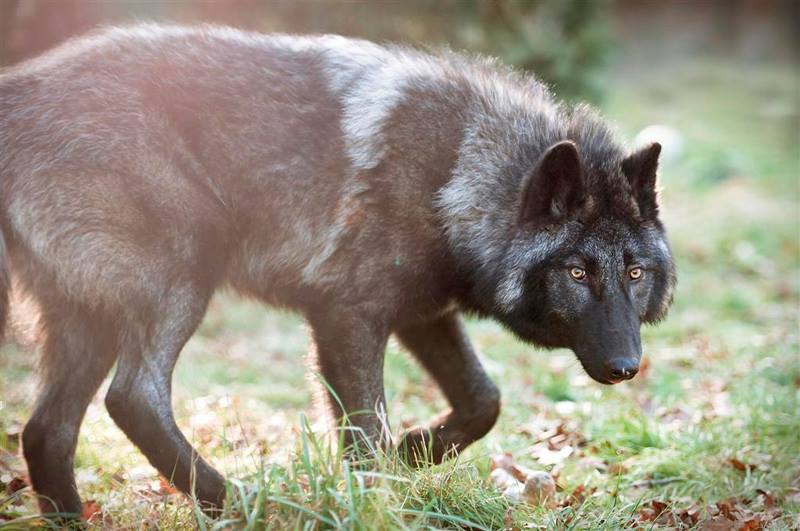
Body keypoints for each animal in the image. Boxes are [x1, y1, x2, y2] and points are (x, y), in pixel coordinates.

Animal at [0, 24, 675, 517]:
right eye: (578, 273)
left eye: (635, 273)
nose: (626, 367)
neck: (453, 171)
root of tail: (18, 94)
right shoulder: (344, 315)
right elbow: (368, 432)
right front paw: (381, 496)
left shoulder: (422, 314)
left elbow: (483, 399)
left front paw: (414, 452)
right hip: (182, 279)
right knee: (133, 398)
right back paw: (236, 501)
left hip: (90, 323)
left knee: (47, 431)